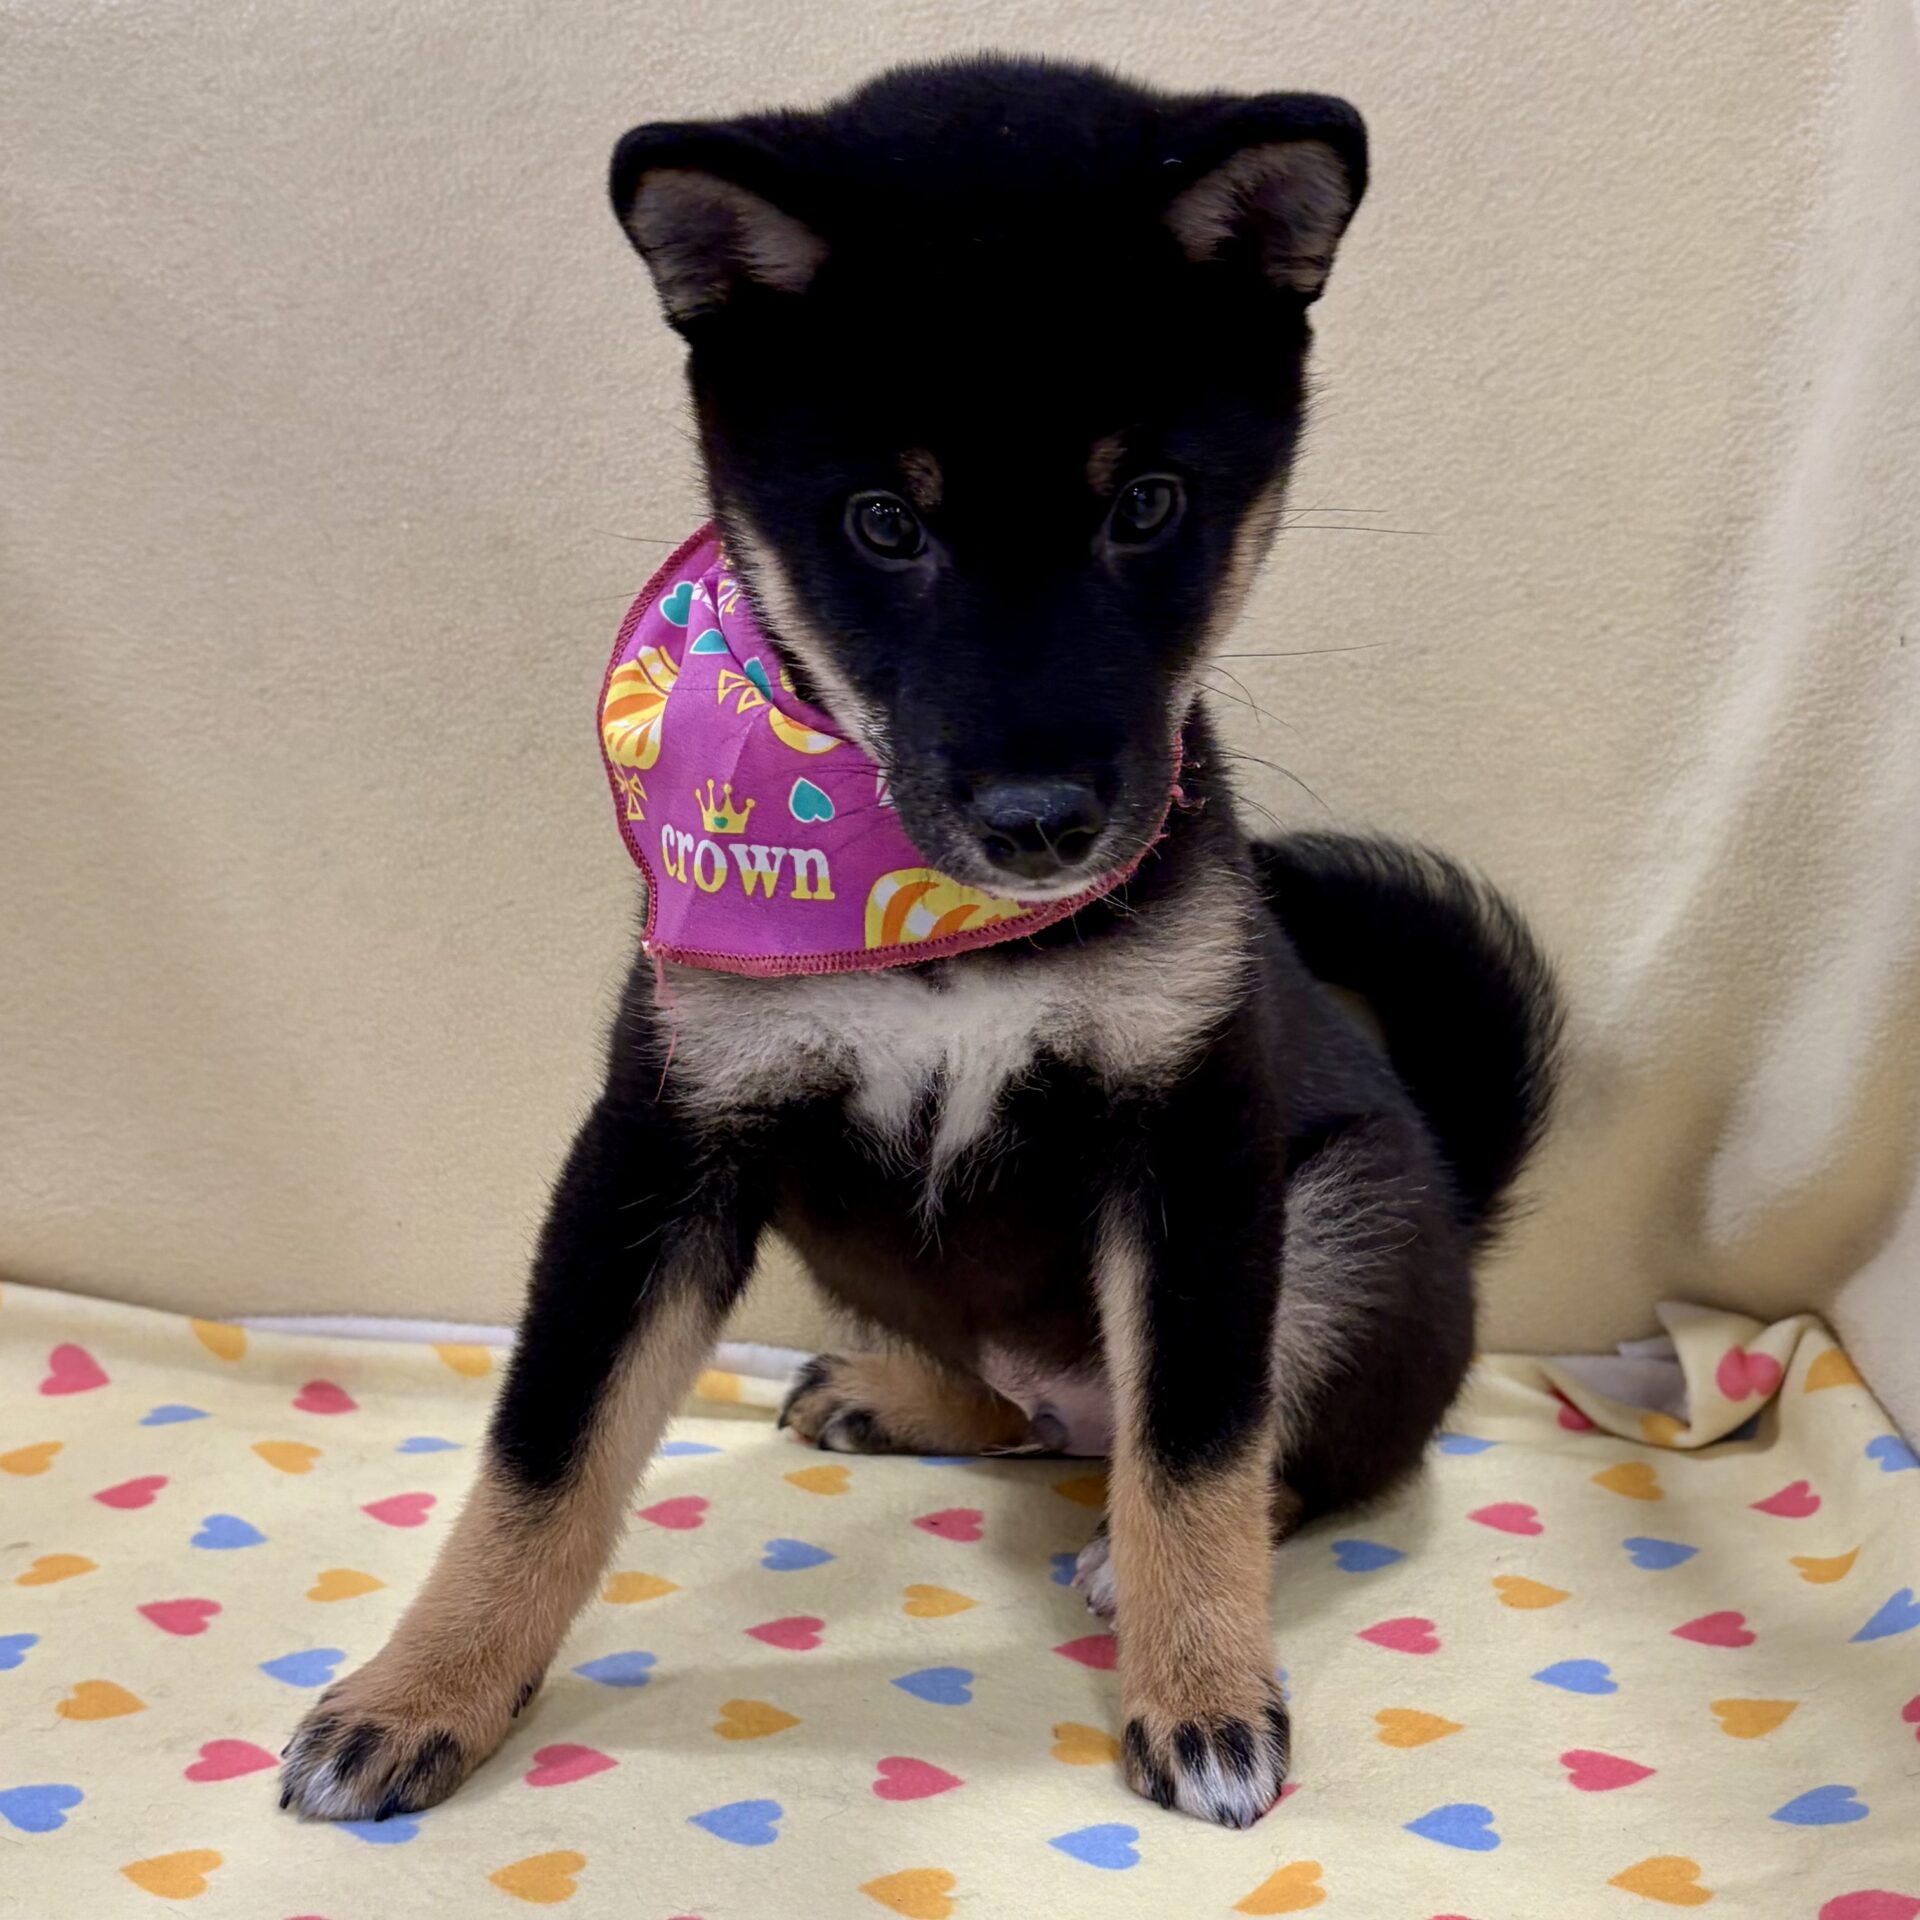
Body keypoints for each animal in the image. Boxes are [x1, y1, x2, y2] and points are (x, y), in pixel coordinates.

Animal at [281, 54, 1559, 1831]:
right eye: (886, 523)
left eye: (1147, 504)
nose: (1045, 825)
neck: (903, 904)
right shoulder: (668, 1131)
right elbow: (545, 1448)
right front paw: (422, 1691)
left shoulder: (1193, 1142)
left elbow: (1201, 1450)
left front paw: (1203, 1689)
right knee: (1013, 1391)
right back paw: (899, 1394)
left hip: (1342, 1213)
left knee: (1255, 1451)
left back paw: (1126, 1555)